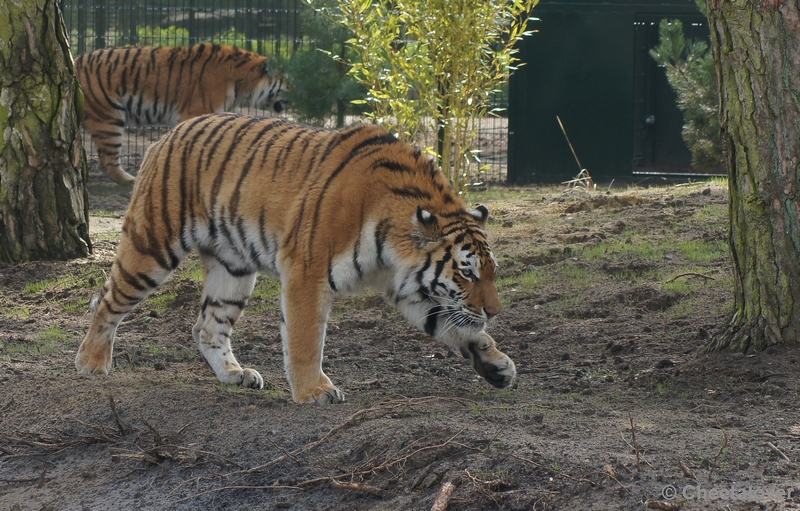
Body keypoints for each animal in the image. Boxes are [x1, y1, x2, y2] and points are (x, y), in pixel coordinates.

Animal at [75, 43, 288, 184]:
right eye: (289, 83)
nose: (295, 97)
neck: (243, 81)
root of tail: (75, 59)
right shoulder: (197, 110)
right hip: (109, 118)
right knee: (107, 161)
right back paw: (130, 180)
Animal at [76, 114, 520, 406]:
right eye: (466, 273)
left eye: (491, 273)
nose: (495, 311)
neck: (396, 244)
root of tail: (166, 135)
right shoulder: (307, 270)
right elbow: (306, 339)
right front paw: (315, 392)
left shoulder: (408, 287)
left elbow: (454, 326)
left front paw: (496, 365)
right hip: (152, 245)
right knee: (106, 300)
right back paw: (91, 363)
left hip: (234, 269)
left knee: (207, 326)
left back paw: (235, 375)